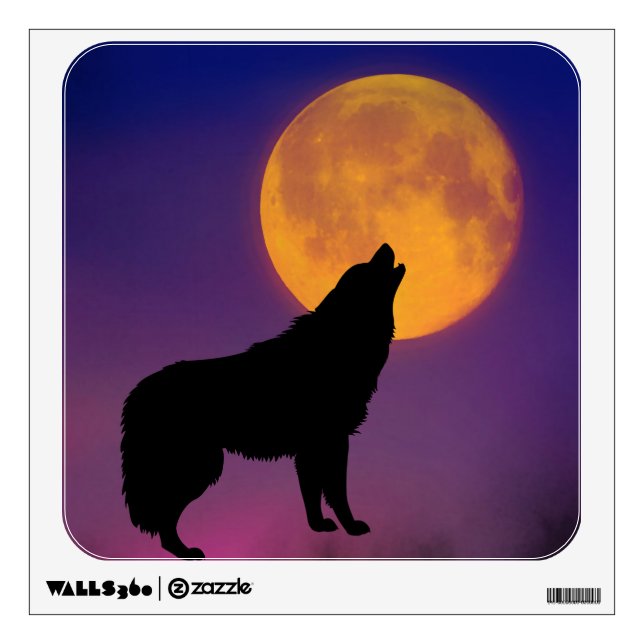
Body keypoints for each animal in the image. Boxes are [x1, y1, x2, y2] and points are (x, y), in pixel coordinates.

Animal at [120, 243, 406, 558]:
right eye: (366, 267)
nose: (385, 245)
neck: (340, 341)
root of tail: (137, 392)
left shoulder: (309, 449)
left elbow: (310, 493)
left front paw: (318, 526)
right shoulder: (333, 440)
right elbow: (337, 492)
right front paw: (352, 527)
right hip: (202, 467)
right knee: (164, 517)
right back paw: (185, 551)